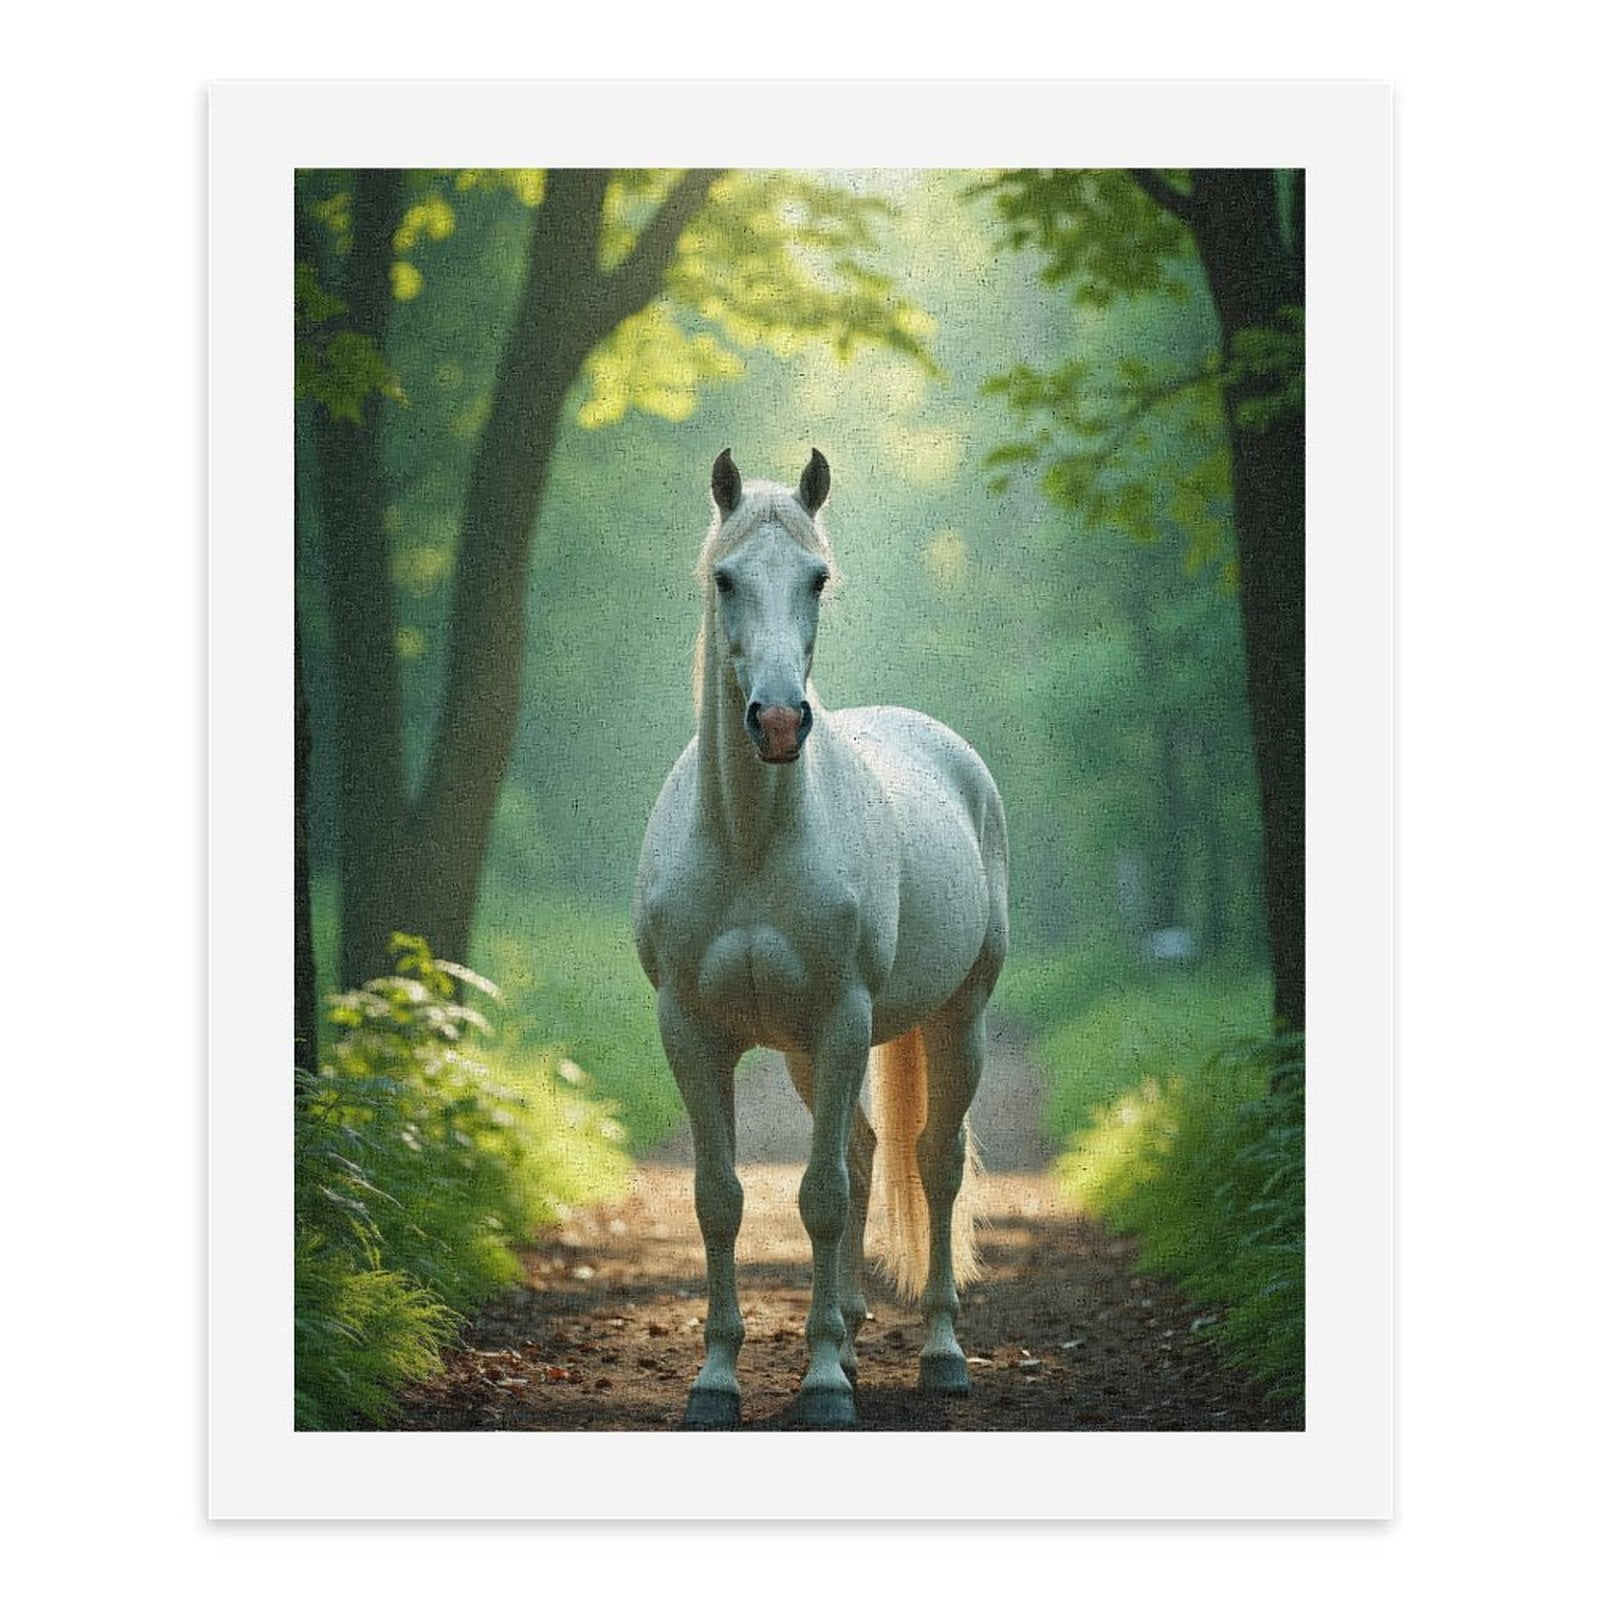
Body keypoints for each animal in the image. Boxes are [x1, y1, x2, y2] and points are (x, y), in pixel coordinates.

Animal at [632, 449, 1009, 1429]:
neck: (749, 839)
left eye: (817, 577)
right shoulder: (692, 1032)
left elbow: (824, 1198)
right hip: (807, 1055)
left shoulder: (844, 1020)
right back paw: (849, 1326)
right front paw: (717, 1379)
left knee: (933, 1165)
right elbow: (721, 1199)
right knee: (869, 1152)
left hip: (958, 1020)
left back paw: (940, 1353)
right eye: (725, 578)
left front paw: (826, 1384)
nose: (776, 721)